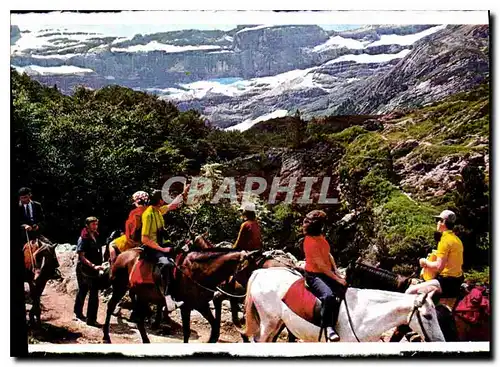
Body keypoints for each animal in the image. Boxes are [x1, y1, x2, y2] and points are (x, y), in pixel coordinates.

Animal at [101, 244, 258, 344]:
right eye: (247, 270)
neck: (197, 272)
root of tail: (121, 255)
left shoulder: (201, 304)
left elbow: (214, 325)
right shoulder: (186, 307)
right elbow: (187, 332)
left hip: (141, 295)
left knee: (139, 318)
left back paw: (145, 340)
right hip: (120, 287)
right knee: (111, 306)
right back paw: (106, 337)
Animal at [238, 268, 446, 344]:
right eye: (428, 316)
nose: (440, 340)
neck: (366, 312)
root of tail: (261, 271)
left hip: (278, 323)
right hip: (269, 322)